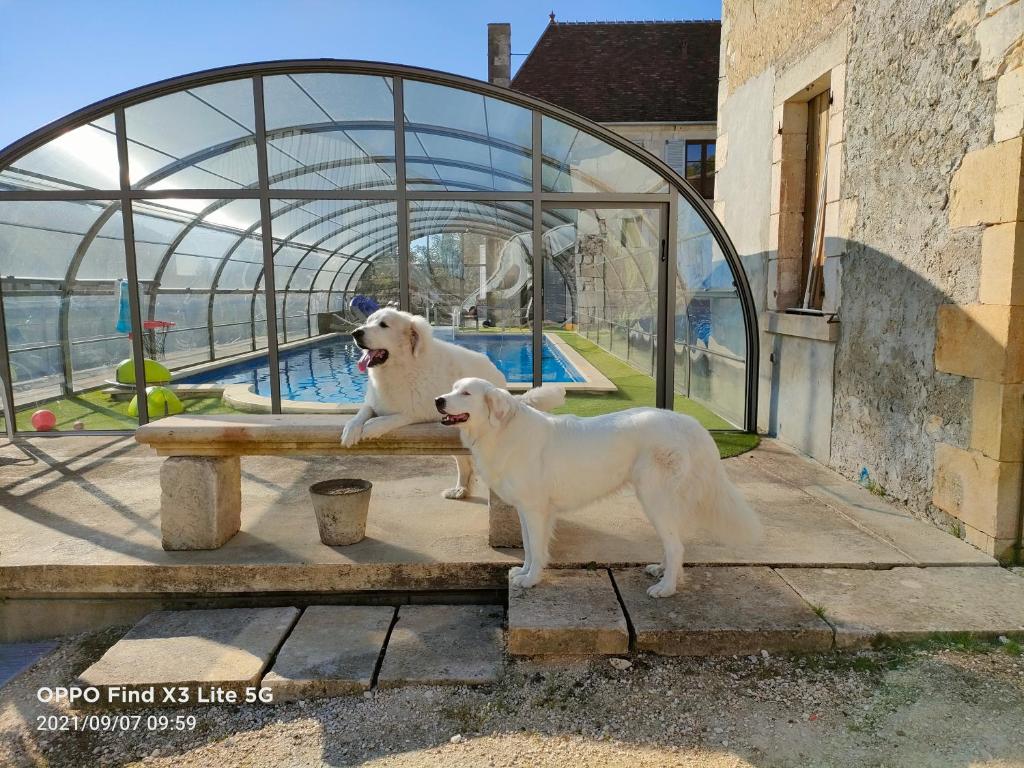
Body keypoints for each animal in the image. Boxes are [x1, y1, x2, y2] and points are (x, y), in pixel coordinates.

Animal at [342, 309, 505, 501]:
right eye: (368, 322)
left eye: (383, 325)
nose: (356, 333)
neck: (403, 367)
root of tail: (493, 367)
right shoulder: (374, 402)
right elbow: (362, 413)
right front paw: (350, 430)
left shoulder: (422, 411)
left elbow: (398, 416)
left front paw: (373, 426)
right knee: (463, 462)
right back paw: (460, 489)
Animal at [432, 376, 761, 598]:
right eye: (452, 388)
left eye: (466, 393)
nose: (438, 400)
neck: (501, 430)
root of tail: (688, 422)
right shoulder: (529, 510)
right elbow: (528, 545)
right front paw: (523, 572)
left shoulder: (535, 509)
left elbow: (536, 548)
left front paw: (532, 580)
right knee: (674, 543)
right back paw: (662, 570)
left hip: (655, 497)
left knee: (676, 545)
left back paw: (666, 587)